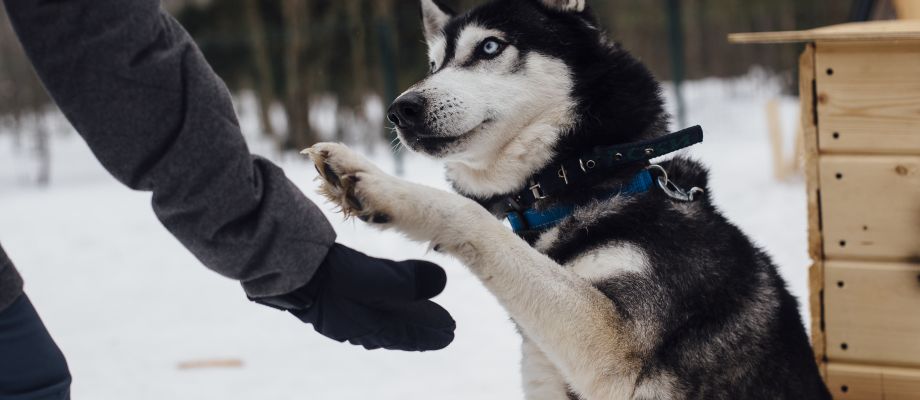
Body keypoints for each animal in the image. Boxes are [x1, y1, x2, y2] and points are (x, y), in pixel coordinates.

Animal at [306, 0, 832, 396]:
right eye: (434, 64)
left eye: (490, 46)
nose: (400, 109)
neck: (573, 185)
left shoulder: (611, 348)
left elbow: (476, 221)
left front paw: (375, 183)